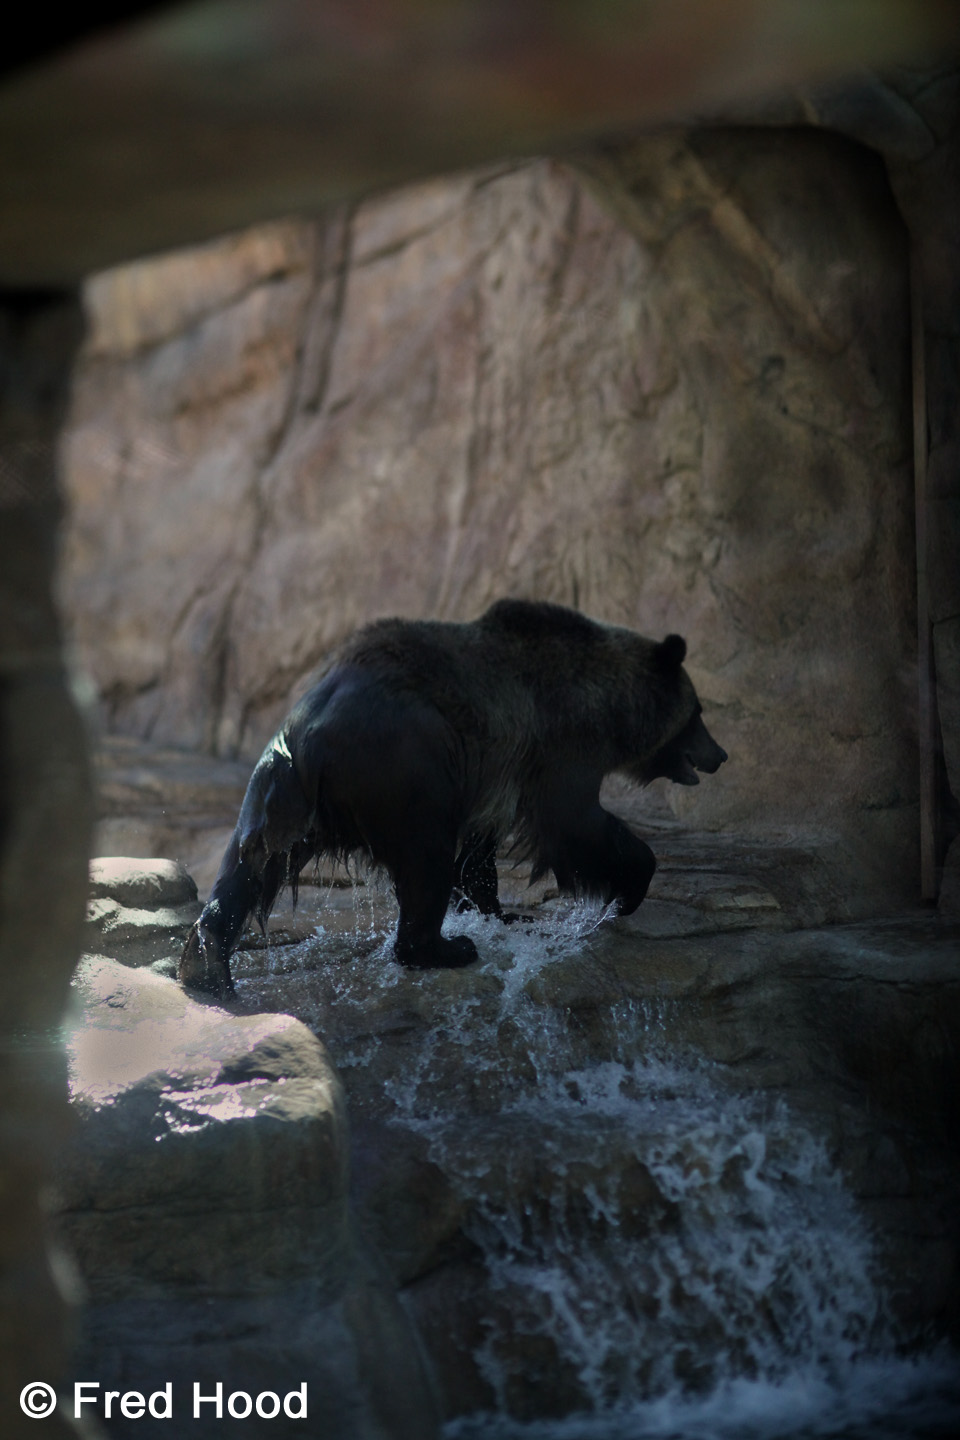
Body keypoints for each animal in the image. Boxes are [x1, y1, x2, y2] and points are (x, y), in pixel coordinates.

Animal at [178, 600, 727, 996]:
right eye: (698, 712)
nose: (719, 754)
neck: (608, 706)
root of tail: (313, 738)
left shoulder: (498, 773)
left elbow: (483, 851)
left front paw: (504, 910)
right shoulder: (557, 744)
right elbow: (573, 824)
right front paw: (627, 887)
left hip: (280, 790)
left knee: (248, 866)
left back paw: (205, 962)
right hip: (403, 771)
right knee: (425, 859)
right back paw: (445, 948)